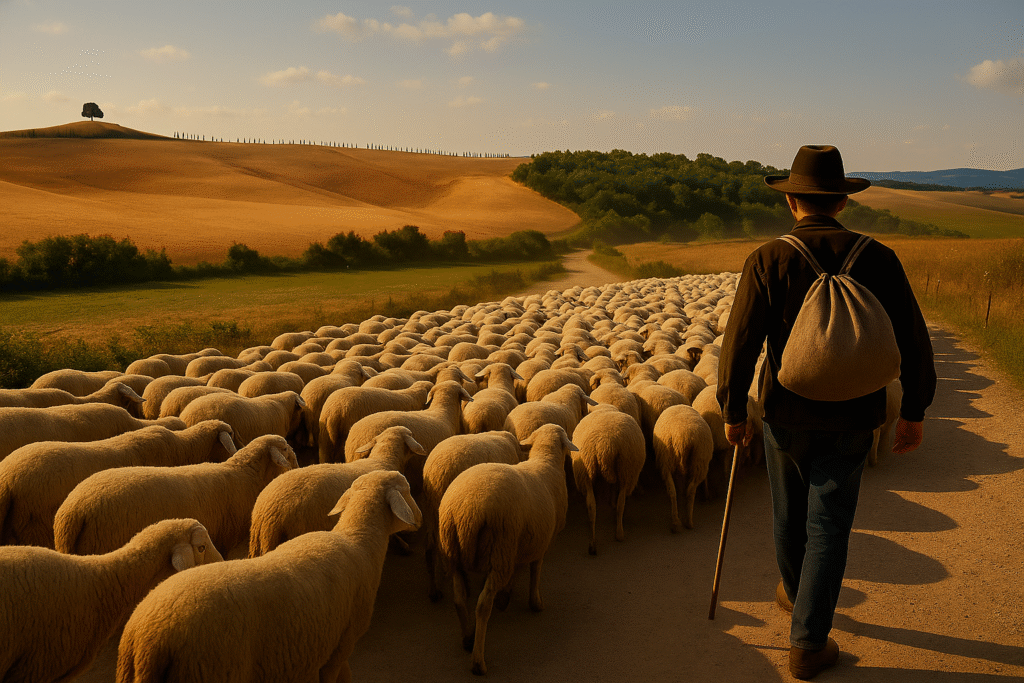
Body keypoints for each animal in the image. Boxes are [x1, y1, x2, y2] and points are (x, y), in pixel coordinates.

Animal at [116, 470, 419, 683]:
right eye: (407, 490)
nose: (420, 518)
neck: (358, 540)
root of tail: (146, 639)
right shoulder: (342, 643)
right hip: (209, 670)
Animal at [438, 424, 577, 675]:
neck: (545, 460)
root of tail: (466, 513)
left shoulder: (524, 540)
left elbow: (521, 568)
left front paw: (508, 597)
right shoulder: (539, 542)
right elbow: (533, 570)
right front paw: (532, 602)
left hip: (452, 553)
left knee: (459, 598)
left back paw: (467, 638)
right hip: (500, 551)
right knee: (483, 605)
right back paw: (478, 661)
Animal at [570, 406, 646, 555]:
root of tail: (604, 445)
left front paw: (611, 501)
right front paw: (612, 502)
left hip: (587, 470)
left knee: (591, 506)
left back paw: (592, 544)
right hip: (625, 470)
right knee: (621, 503)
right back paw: (619, 533)